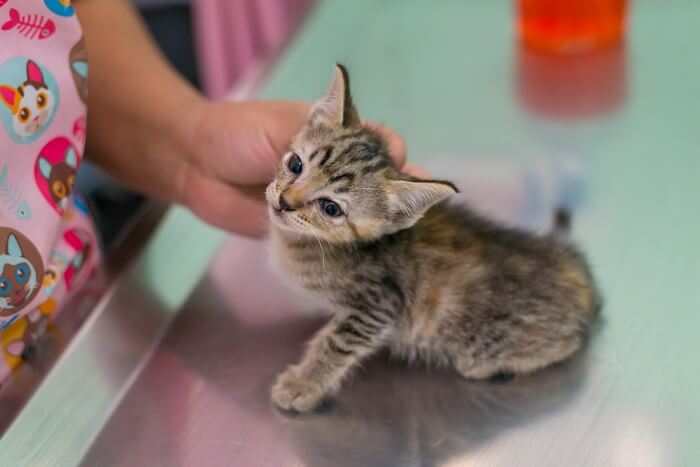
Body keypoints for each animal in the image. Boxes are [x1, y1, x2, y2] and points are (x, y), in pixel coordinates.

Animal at [266, 66, 600, 414]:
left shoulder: (377, 304)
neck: (298, 243)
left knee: (569, 342)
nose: (284, 202)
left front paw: (302, 384)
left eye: (331, 208)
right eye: (295, 164)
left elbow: (335, 343)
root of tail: (580, 276)